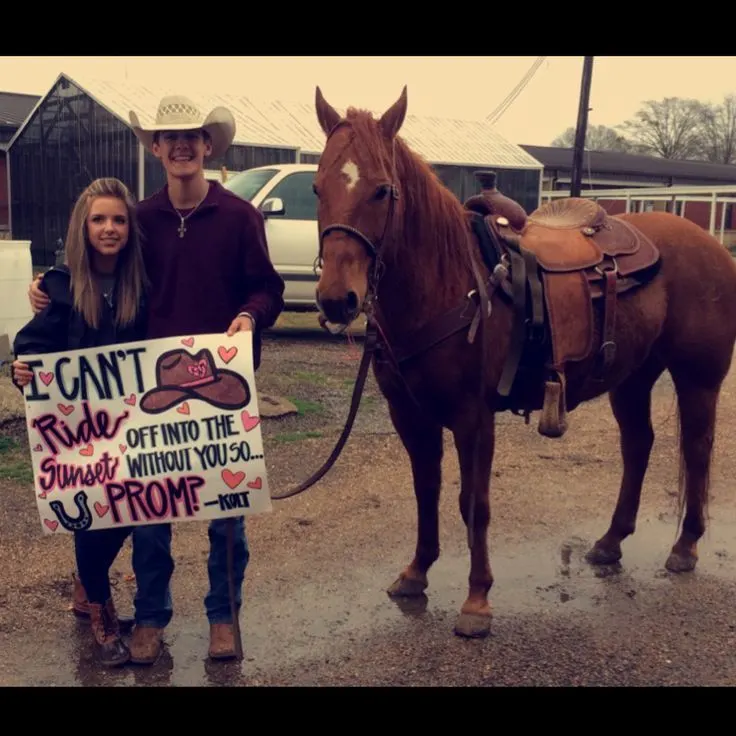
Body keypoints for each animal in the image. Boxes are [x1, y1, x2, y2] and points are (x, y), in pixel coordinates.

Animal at [312, 87, 736, 640]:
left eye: (383, 191)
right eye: (317, 189)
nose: (337, 300)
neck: (451, 283)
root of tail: (710, 244)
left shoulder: (473, 418)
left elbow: (475, 504)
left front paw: (477, 600)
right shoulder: (411, 415)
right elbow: (427, 491)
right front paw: (416, 572)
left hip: (698, 377)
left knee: (697, 448)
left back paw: (685, 546)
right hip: (632, 377)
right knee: (638, 445)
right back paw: (610, 542)